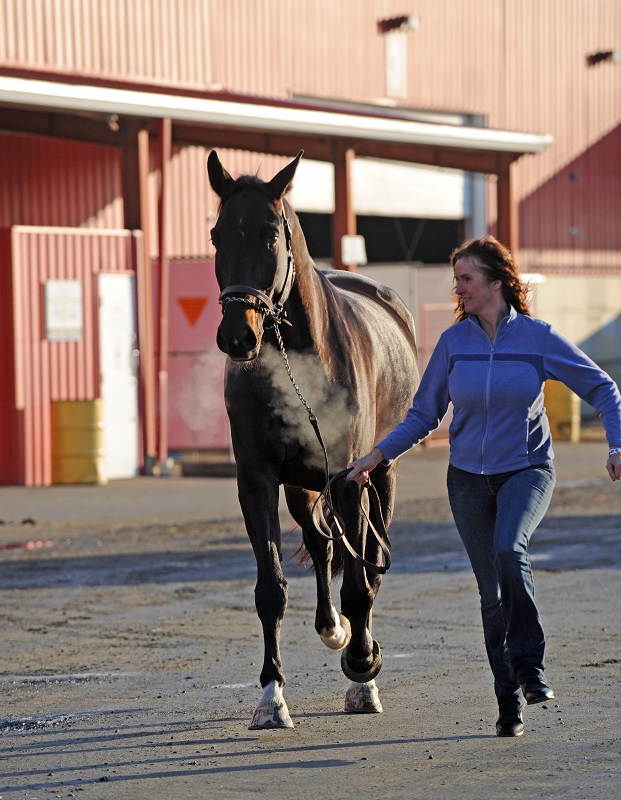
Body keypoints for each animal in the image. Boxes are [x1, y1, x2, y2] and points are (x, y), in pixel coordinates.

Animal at [207, 150, 419, 729]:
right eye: (216, 235)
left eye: (269, 234)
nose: (237, 335)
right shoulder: (257, 481)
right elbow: (271, 590)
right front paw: (270, 697)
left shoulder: (349, 479)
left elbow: (359, 584)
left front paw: (363, 672)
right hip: (303, 487)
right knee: (324, 545)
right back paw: (332, 629)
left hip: (381, 477)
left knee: (366, 562)